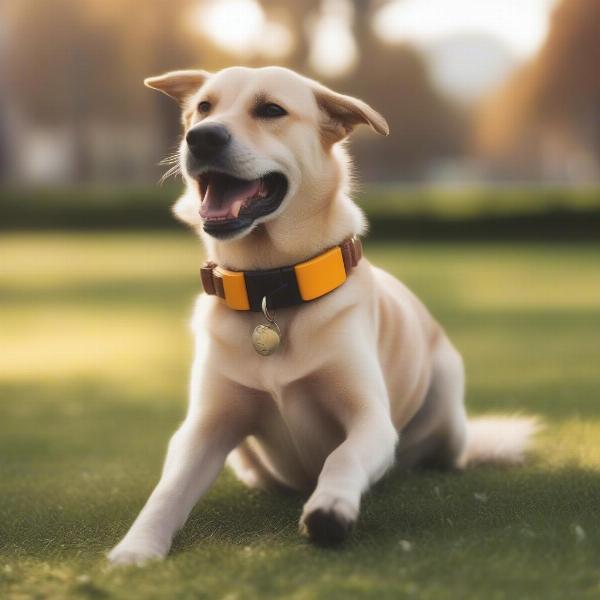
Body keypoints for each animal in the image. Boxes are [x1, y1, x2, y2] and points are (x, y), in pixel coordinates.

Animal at [105, 68, 536, 564]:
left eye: (271, 110)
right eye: (203, 108)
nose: (202, 138)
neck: (270, 291)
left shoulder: (370, 419)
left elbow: (341, 456)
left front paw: (330, 508)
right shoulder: (205, 426)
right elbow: (168, 489)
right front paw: (136, 548)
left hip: (446, 403)